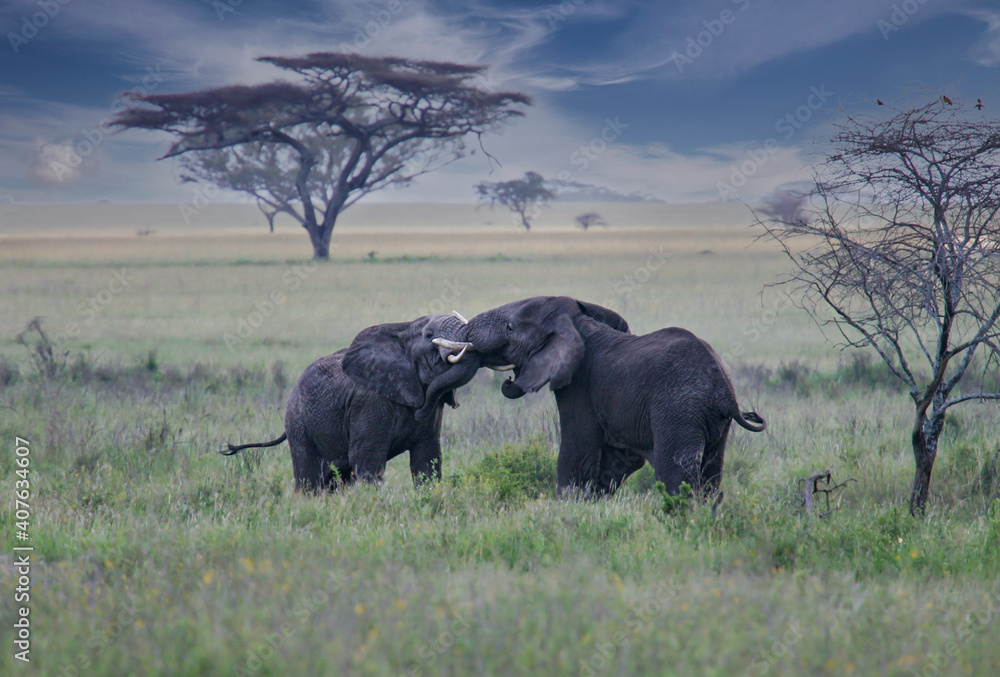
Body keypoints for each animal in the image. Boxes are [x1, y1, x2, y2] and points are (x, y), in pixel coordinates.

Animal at [221, 312, 481, 492]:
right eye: (429, 336)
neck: (403, 329)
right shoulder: (368, 402)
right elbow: (368, 459)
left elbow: (427, 458)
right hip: (298, 423)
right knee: (309, 478)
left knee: (336, 479)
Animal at [439, 296, 766, 497]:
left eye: (510, 327)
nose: (508, 381)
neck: (579, 324)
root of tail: (725, 392)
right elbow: (615, 462)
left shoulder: (579, 388)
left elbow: (577, 451)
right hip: (714, 422)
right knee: (711, 474)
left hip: (679, 409)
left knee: (676, 473)